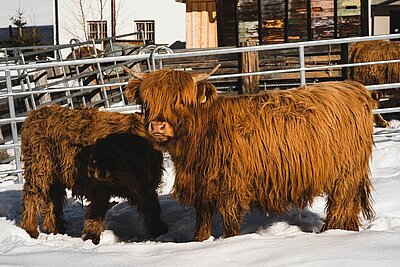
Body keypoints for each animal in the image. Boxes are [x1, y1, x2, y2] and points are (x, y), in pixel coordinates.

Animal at [19, 105, 167, 245]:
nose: (91, 171)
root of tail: (34, 114)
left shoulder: (147, 186)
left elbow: (152, 208)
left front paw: (159, 230)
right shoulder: (100, 188)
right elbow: (96, 210)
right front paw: (92, 238)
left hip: (55, 177)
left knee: (54, 199)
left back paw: (56, 228)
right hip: (40, 167)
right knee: (33, 196)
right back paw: (30, 230)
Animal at [124, 66, 376, 242]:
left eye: (180, 100)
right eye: (147, 101)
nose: (158, 126)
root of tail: (353, 88)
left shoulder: (230, 185)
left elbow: (229, 220)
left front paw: (229, 241)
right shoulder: (201, 185)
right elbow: (203, 218)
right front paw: (199, 241)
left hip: (344, 175)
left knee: (340, 204)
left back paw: (332, 232)